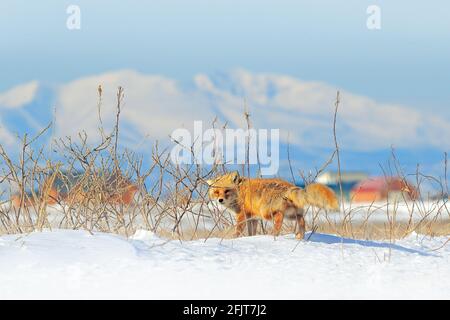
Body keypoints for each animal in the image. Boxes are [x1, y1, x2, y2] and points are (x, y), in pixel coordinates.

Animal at [207, 172, 338, 238]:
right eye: (216, 192)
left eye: (227, 191)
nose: (220, 200)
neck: (240, 192)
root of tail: (289, 187)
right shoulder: (253, 218)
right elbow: (251, 232)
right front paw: (251, 238)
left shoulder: (242, 215)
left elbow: (238, 230)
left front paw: (233, 238)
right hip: (292, 214)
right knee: (302, 221)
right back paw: (300, 237)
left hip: (268, 213)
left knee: (279, 219)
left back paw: (274, 235)